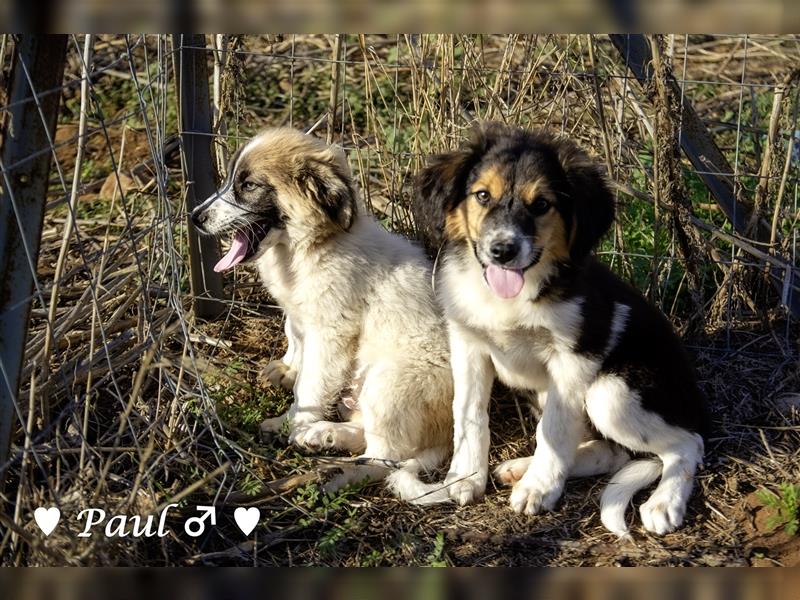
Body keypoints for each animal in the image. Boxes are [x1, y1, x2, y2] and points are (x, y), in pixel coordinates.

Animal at [416, 122, 708, 536]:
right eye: (483, 196)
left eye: (541, 205)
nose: (502, 251)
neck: (513, 296)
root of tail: (696, 401)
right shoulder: (468, 345)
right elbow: (469, 413)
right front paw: (465, 477)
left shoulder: (573, 357)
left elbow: (553, 428)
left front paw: (539, 489)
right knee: (611, 453)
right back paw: (521, 469)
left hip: (611, 392)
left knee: (687, 443)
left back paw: (664, 503)